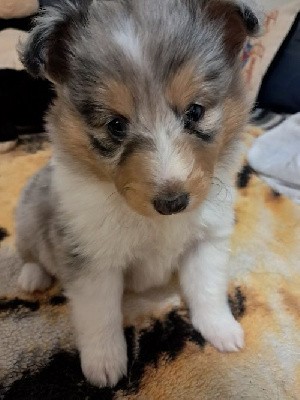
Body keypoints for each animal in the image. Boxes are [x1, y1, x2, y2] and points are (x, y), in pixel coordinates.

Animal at [15, 0, 260, 388]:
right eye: (116, 125)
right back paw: (31, 277)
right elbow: (99, 315)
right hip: (28, 213)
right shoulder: (92, 258)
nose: (173, 202)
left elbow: (207, 288)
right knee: (30, 254)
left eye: (195, 111)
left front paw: (221, 330)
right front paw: (104, 366)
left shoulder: (206, 239)